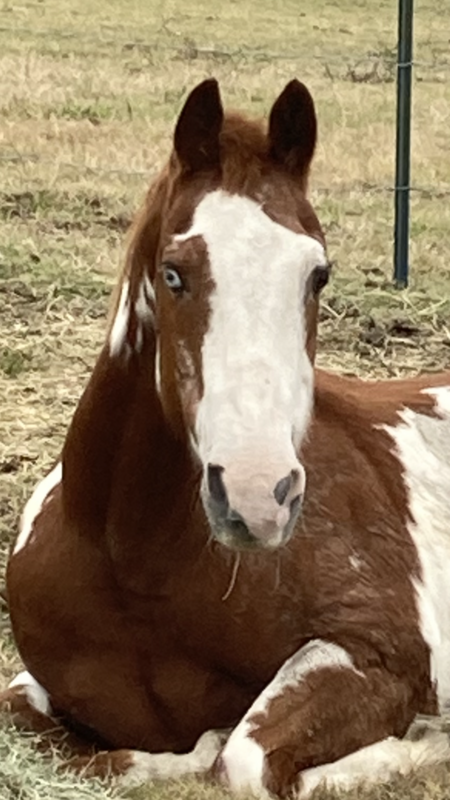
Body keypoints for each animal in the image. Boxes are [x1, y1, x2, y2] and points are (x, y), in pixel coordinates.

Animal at [2, 76, 450, 800]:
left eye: (318, 274)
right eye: (173, 272)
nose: (257, 497)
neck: (132, 570)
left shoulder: (380, 651)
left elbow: (245, 758)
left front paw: (420, 743)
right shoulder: (36, 688)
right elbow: (53, 732)